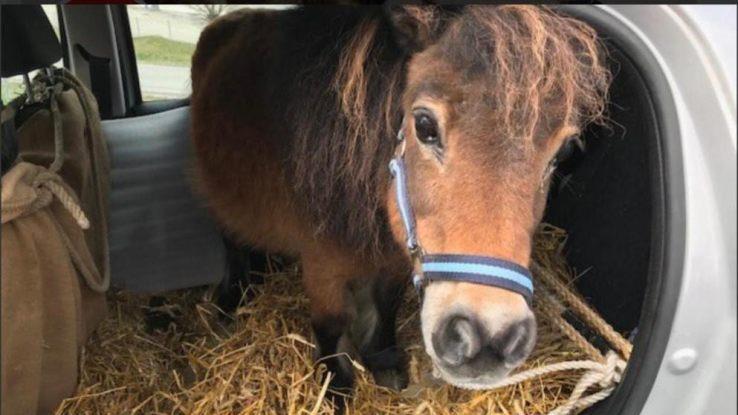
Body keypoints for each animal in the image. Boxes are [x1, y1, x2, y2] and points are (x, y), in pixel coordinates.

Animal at [190, 4, 609, 398]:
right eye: (424, 125)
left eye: (564, 151)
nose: (488, 338)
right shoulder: (322, 263)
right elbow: (331, 322)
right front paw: (336, 387)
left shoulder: (394, 257)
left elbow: (385, 306)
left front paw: (384, 362)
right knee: (232, 242)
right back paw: (230, 301)